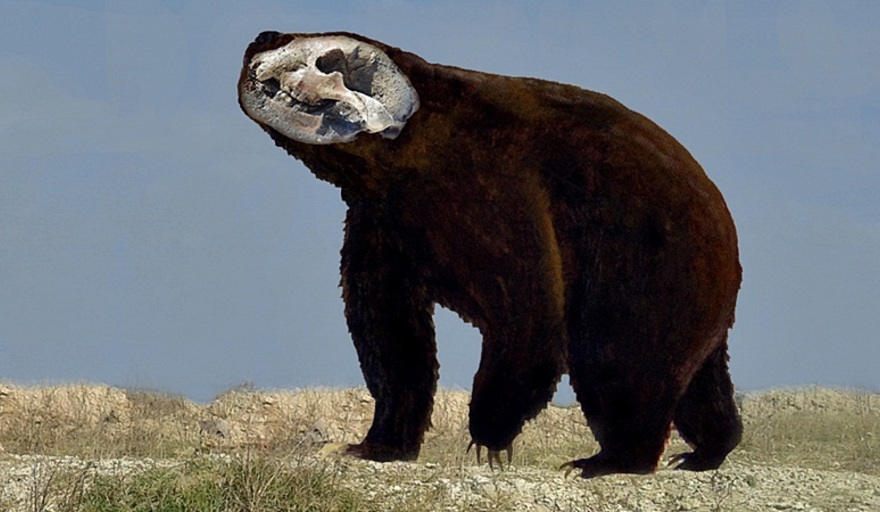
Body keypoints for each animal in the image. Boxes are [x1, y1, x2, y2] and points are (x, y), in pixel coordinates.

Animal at [237, 31, 742, 478]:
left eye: (309, 55)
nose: (259, 36)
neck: (409, 152)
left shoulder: (492, 187)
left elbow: (526, 312)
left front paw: (489, 437)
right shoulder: (385, 219)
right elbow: (390, 333)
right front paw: (373, 444)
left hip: (648, 264)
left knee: (619, 357)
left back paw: (607, 460)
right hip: (693, 295)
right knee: (699, 378)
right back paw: (703, 451)